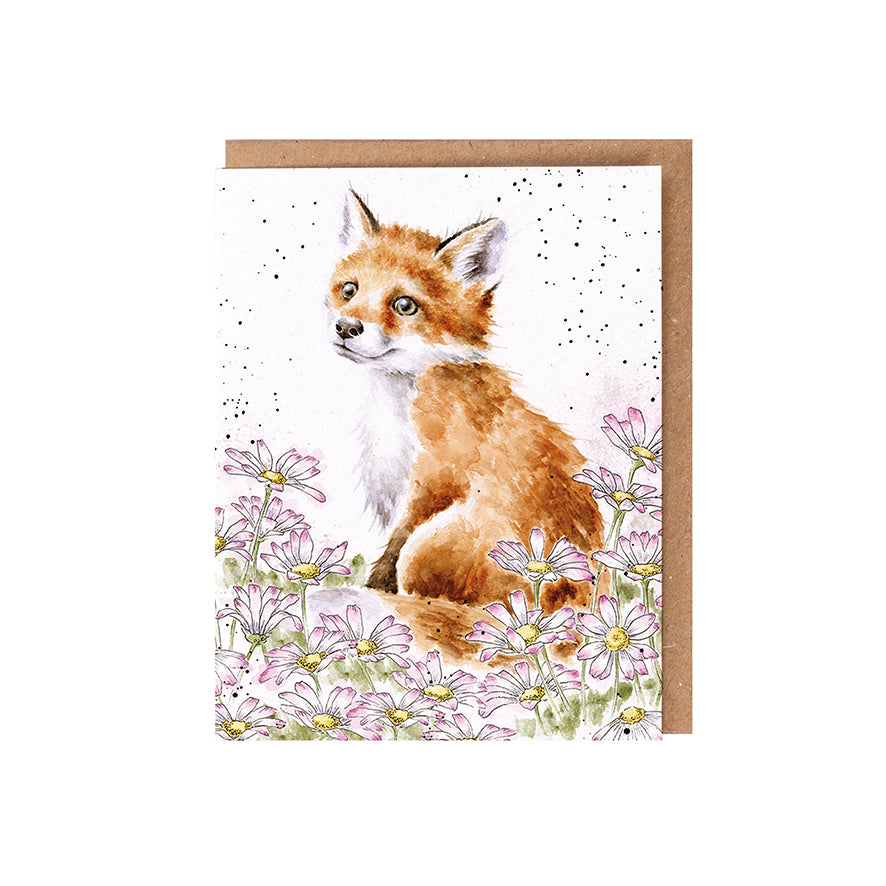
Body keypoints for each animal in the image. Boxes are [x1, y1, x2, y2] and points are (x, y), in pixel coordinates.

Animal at [327, 189, 605, 660]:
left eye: (404, 305)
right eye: (350, 290)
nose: (346, 327)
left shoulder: (429, 485)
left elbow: (385, 566)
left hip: (429, 544)